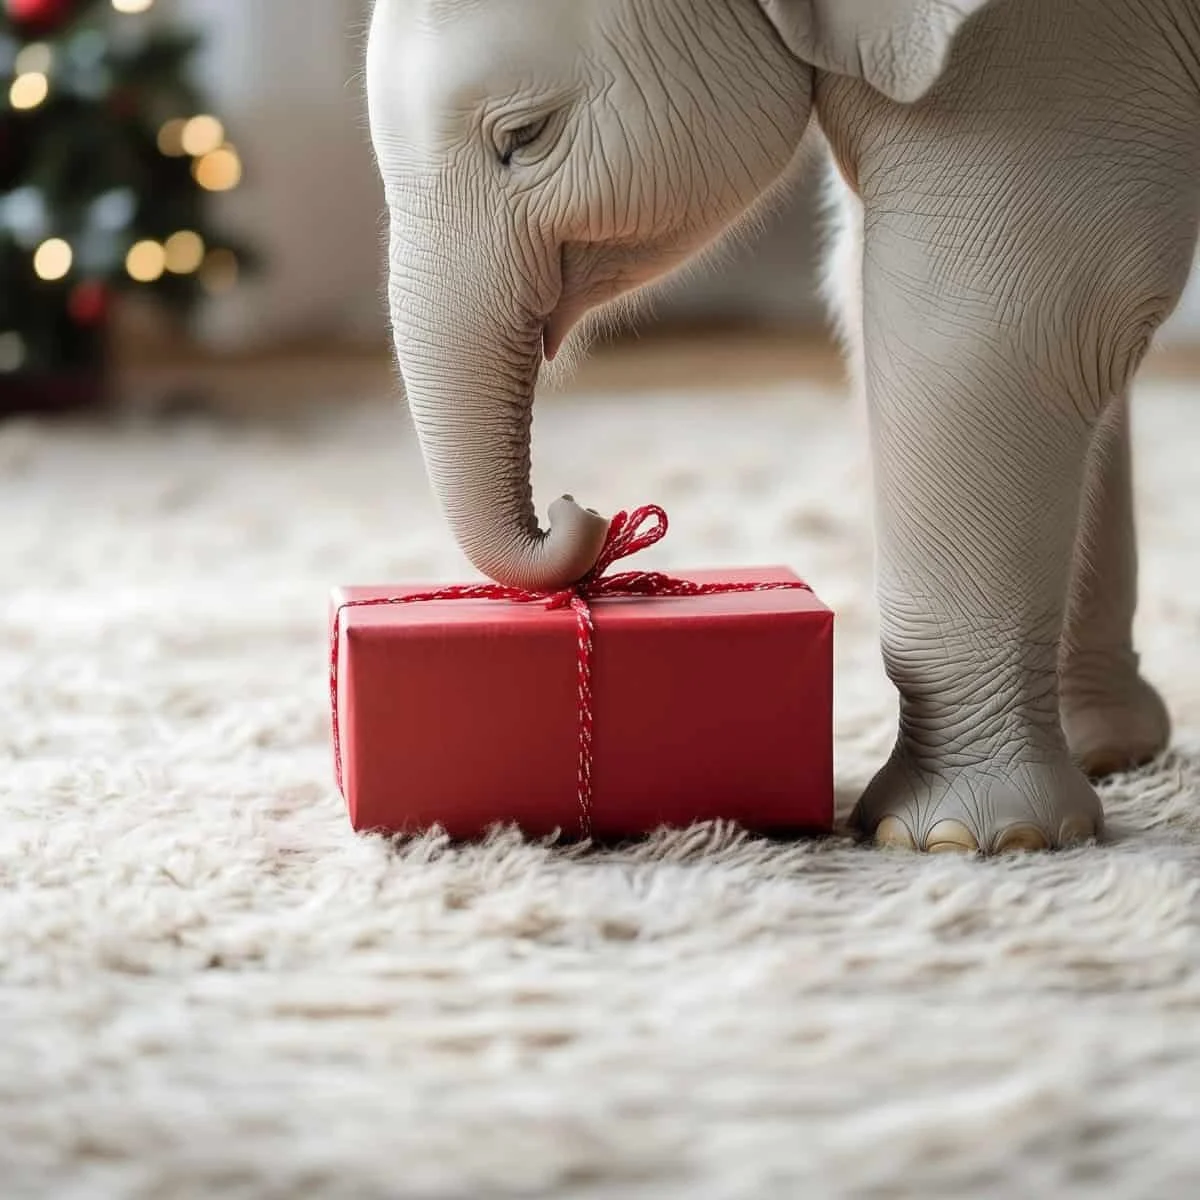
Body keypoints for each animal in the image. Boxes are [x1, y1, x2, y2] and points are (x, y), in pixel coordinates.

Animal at [364, 0, 1200, 853]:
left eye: (524, 135)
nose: (583, 510)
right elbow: (910, 300)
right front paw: (1095, 759)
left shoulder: (1043, 43)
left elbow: (996, 322)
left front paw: (965, 839)